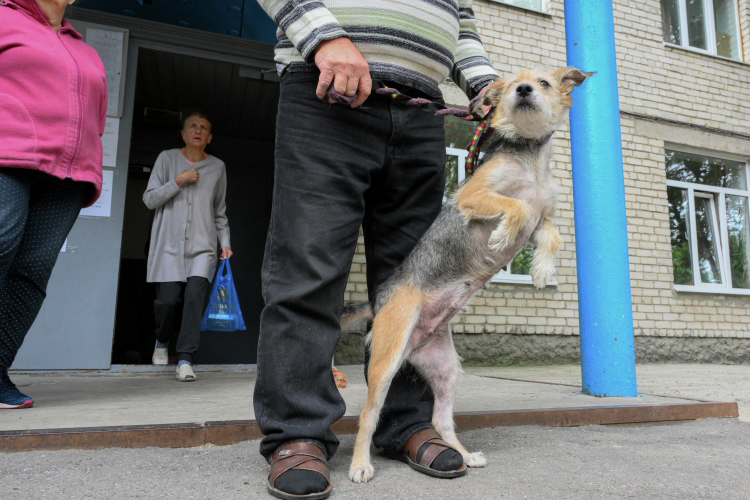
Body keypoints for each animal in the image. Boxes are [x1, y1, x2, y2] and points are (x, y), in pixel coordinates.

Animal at [346, 66, 592, 480]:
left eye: (543, 83)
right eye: (511, 86)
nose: (523, 90)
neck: (528, 157)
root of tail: (378, 301)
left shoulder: (543, 219)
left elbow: (553, 236)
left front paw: (542, 271)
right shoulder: (474, 198)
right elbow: (516, 208)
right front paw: (501, 235)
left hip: (445, 368)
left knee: (441, 419)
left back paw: (462, 454)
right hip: (386, 358)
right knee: (369, 415)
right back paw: (360, 465)